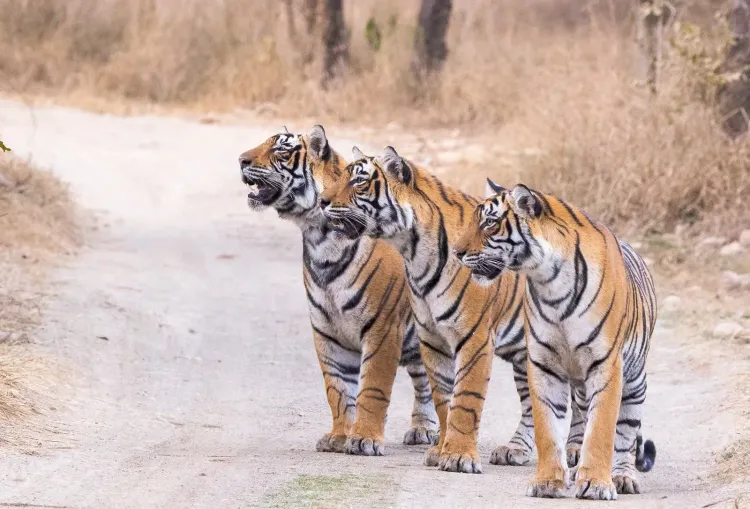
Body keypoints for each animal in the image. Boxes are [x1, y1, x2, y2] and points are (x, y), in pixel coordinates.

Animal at [237, 126, 439, 456]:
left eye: (281, 151)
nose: (241, 160)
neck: (320, 238)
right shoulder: (326, 330)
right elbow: (338, 390)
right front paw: (339, 437)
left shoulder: (383, 328)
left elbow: (372, 388)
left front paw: (365, 439)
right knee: (426, 381)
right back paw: (423, 429)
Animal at [318, 145, 586, 473]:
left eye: (359, 181)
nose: (321, 201)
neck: (413, 252)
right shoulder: (433, 338)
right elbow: (444, 398)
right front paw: (441, 451)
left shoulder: (475, 338)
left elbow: (466, 399)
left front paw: (459, 457)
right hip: (527, 354)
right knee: (531, 403)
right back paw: (514, 449)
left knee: (580, 400)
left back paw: (575, 451)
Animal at [454, 178, 657, 500]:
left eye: (490, 223)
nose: (456, 252)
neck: (549, 281)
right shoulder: (544, 364)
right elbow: (547, 429)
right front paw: (548, 482)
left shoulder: (606, 366)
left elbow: (601, 431)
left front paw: (597, 484)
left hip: (635, 381)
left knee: (624, 435)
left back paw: (621, 476)